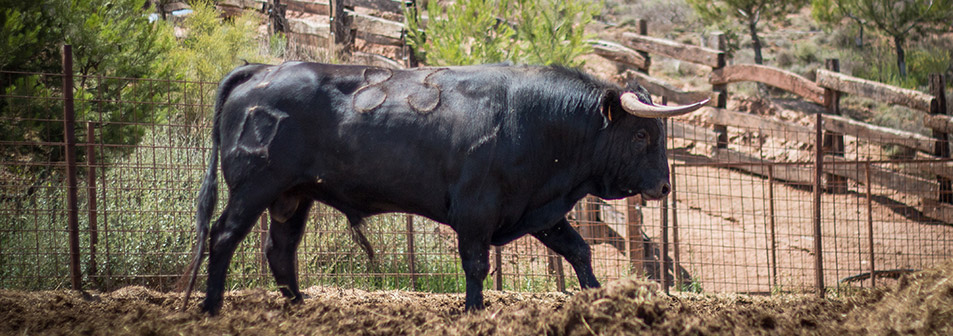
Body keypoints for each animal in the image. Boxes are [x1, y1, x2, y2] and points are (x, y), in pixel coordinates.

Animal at [180, 61, 708, 316]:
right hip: (254, 188)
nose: (664, 186)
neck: (533, 120)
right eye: (642, 136)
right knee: (223, 238)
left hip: (293, 196)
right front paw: (474, 311)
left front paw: (599, 300)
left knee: (279, 248)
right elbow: (477, 265)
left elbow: (579, 250)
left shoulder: (538, 209)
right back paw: (210, 307)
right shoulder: (476, 212)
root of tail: (262, 70)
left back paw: (299, 305)